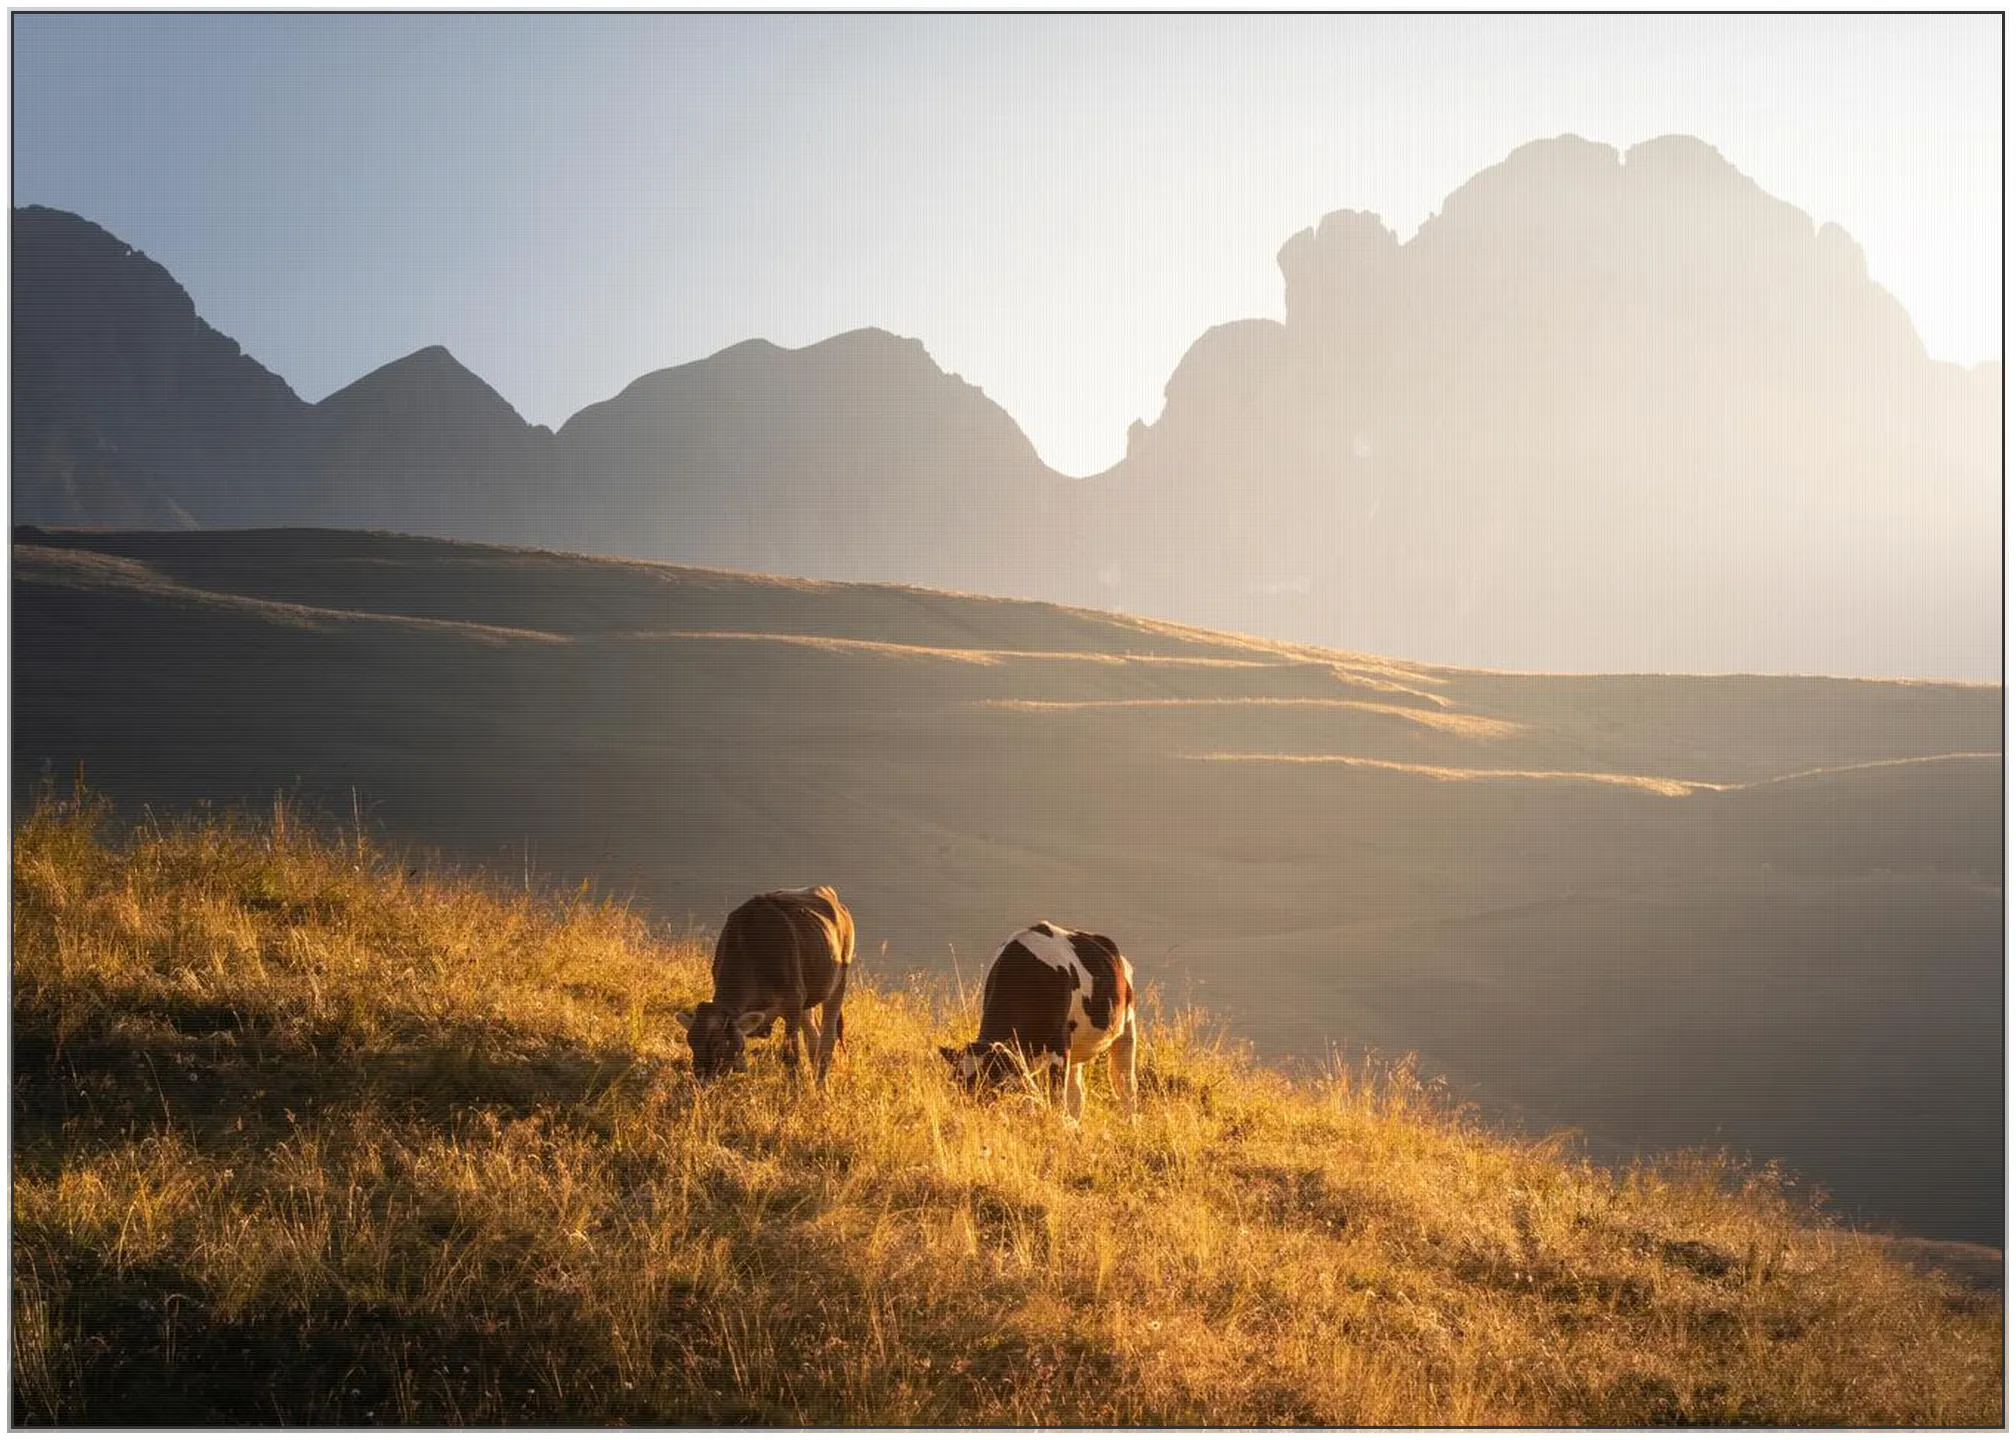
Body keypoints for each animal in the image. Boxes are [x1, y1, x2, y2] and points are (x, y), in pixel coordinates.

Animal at [675, 886, 854, 1083]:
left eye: (717, 1044)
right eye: (691, 1042)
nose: (701, 1080)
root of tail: (825, 891)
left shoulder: (793, 1002)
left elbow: (790, 1055)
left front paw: (794, 1088)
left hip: (838, 982)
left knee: (827, 1040)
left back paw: (821, 1085)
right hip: (809, 997)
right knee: (813, 1038)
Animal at [939, 921, 1138, 1122]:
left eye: (990, 1084)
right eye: (957, 1083)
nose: (970, 1115)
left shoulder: (1059, 1048)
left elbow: (1057, 1099)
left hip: (1126, 1028)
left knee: (1125, 1086)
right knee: (1077, 1097)